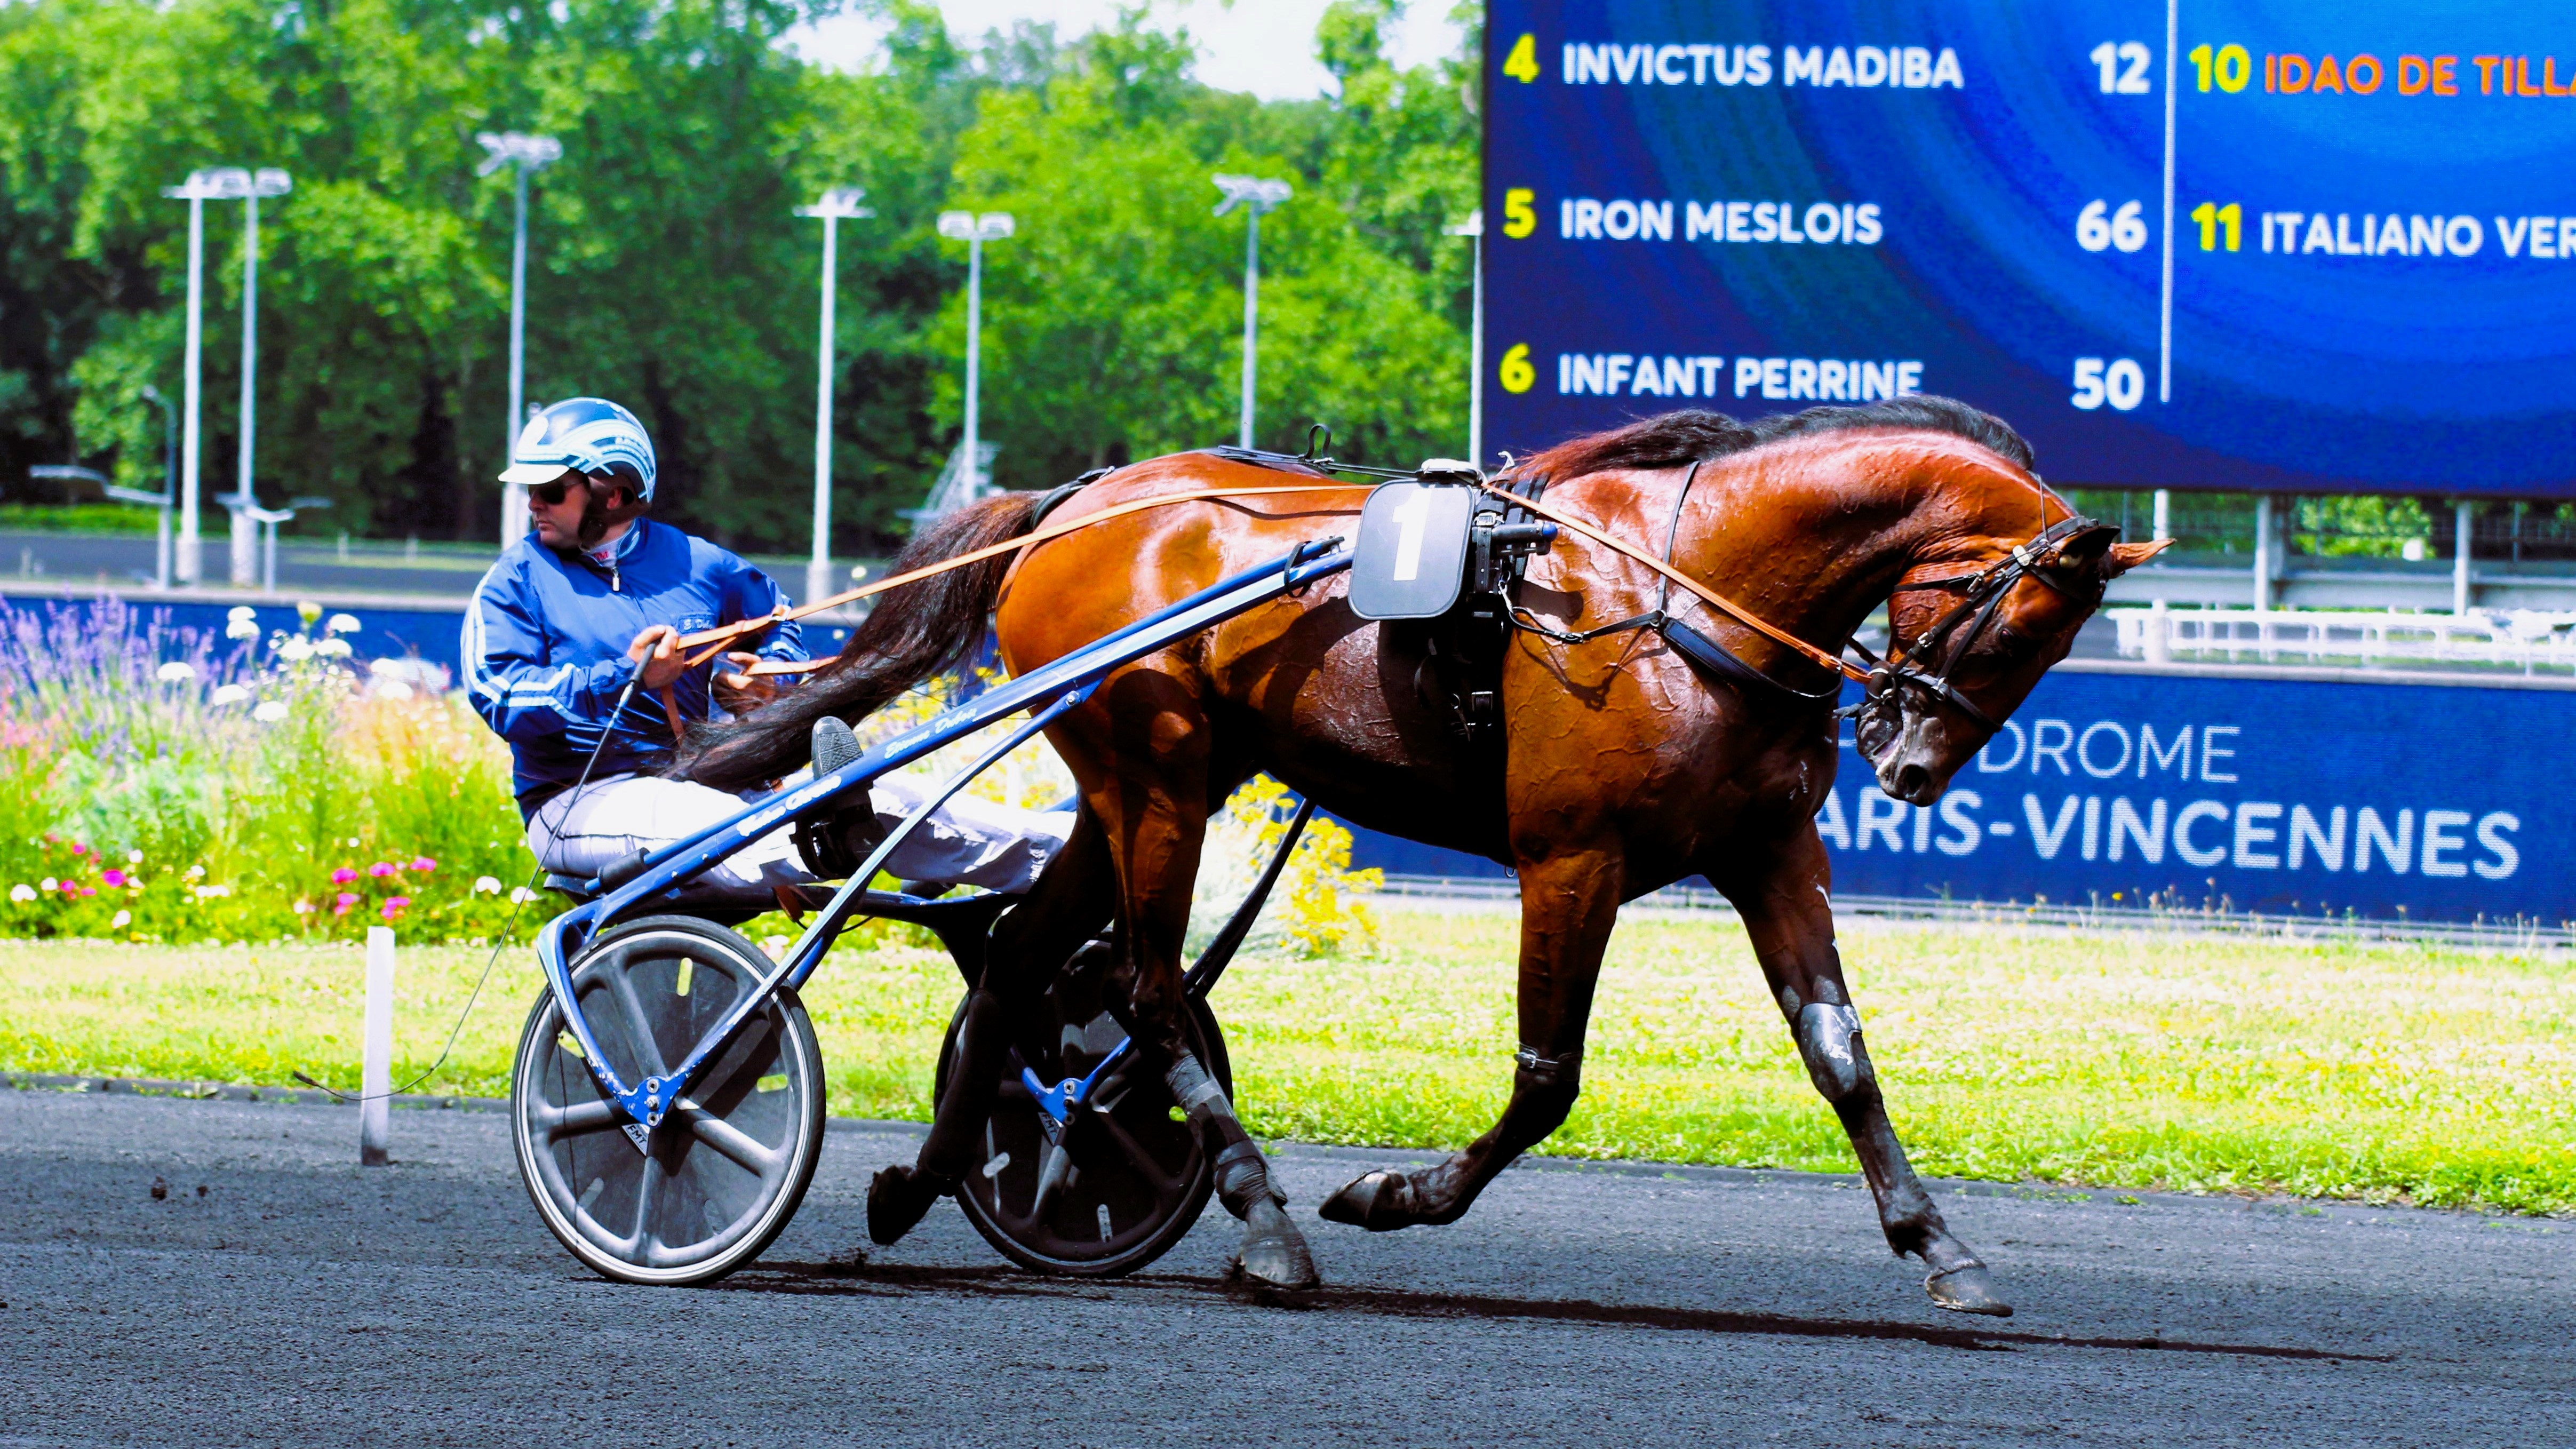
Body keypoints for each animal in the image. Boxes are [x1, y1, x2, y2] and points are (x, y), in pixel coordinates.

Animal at [675, 392, 2164, 1310]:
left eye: (2048, 645)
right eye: (2011, 618)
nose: (1910, 766)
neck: (1683, 587)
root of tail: (1080, 501)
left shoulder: (1768, 851)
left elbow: (1841, 1058)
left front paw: (1939, 1244)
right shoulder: (1570, 857)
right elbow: (1545, 1080)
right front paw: (1394, 1193)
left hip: (1145, 779)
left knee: (1024, 963)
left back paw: (929, 1173)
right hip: (1153, 774)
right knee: (1144, 988)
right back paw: (1263, 1219)